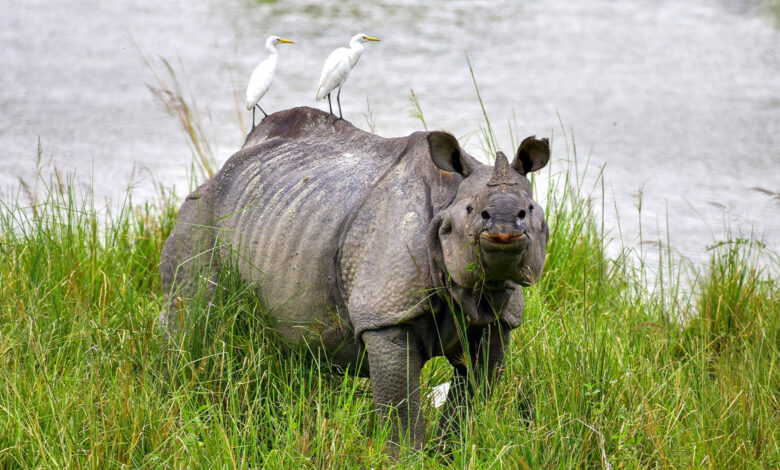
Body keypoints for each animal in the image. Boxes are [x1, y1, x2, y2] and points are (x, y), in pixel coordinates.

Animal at [160, 106, 550, 448]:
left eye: (531, 211)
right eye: (470, 211)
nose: (503, 224)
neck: (448, 196)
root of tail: (230, 162)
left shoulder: (498, 319)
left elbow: (473, 394)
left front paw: (451, 453)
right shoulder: (386, 317)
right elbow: (400, 409)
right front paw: (406, 459)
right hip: (202, 212)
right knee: (196, 322)